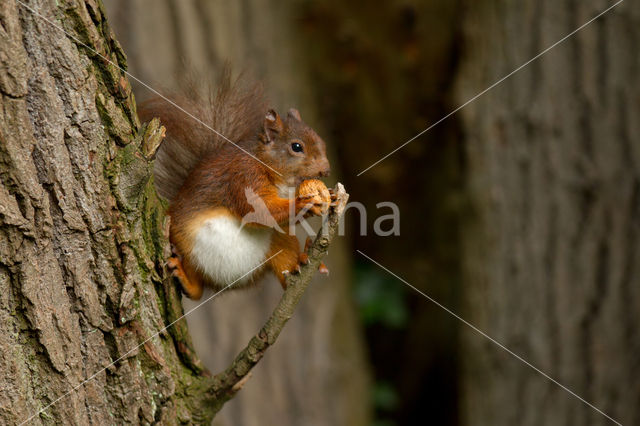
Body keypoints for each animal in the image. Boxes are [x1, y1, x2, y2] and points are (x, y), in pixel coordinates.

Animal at [137, 73, 332, 300]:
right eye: (297, 147)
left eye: (321, 141)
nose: (326, 170)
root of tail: (230, 283)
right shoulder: (242, 178)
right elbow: (261, 212)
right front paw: (304, 203)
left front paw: (331, 197)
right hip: (184, 243)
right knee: (197, 288)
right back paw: (186, 280)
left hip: (280, 241)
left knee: (286, 273)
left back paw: (301, 261)